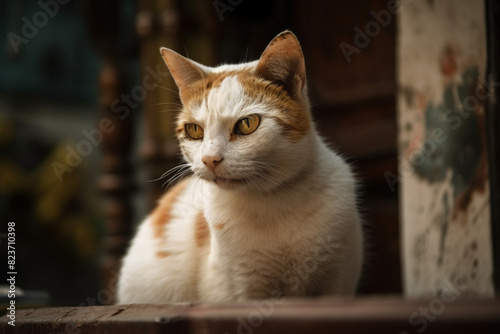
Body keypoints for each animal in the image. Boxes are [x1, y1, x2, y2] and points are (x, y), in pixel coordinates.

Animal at [119, 30, 366, 302]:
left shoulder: (337, 283)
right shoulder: (240, 292)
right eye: (194, 130)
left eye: (247, 124)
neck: (272, 201)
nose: (210, 159)